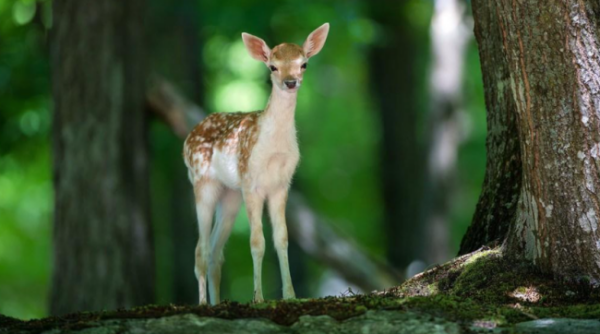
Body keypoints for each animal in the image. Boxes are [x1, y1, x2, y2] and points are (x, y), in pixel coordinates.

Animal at [184, 22, 328, 306]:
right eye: (272, 66)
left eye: (303, 64)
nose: (290, 82)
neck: (273, 149)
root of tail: (187, 139)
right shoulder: (251, 183)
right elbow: (257, 242)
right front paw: (258, 298)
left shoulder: (281, 185)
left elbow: (281, 239)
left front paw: (291, 295)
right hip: (203, 182)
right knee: (200, 249)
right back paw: (203, 303)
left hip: (230, 194)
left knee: (215, 252)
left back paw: (216, 302)